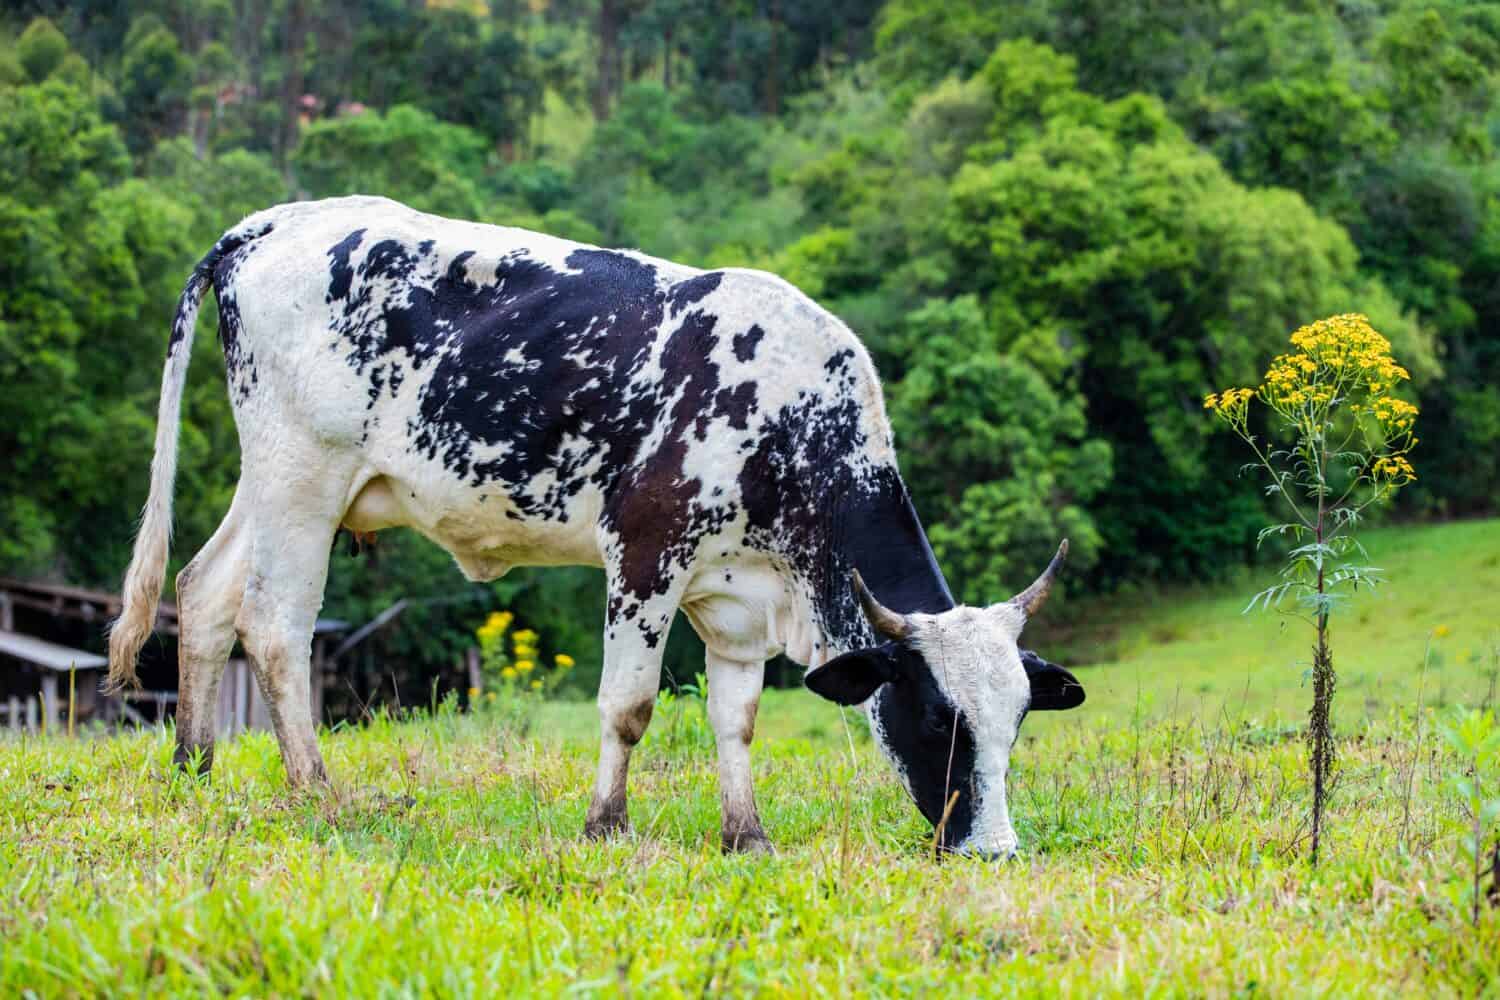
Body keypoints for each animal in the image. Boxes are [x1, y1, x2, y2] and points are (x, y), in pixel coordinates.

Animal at [111, 197, 1086, 863]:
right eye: (936, 717)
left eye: (1017, 722)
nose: (995, 850)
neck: (790, 414)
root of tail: (272, 222)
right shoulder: (645, 554)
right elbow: (630, 705)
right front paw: (606, 824)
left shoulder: (737, 602)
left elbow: (736, 720)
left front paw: (746, 836)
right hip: (303, 479)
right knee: (274, 625)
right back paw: (318, 792)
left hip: (275, 483)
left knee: (202, 592)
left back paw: (194, 770)